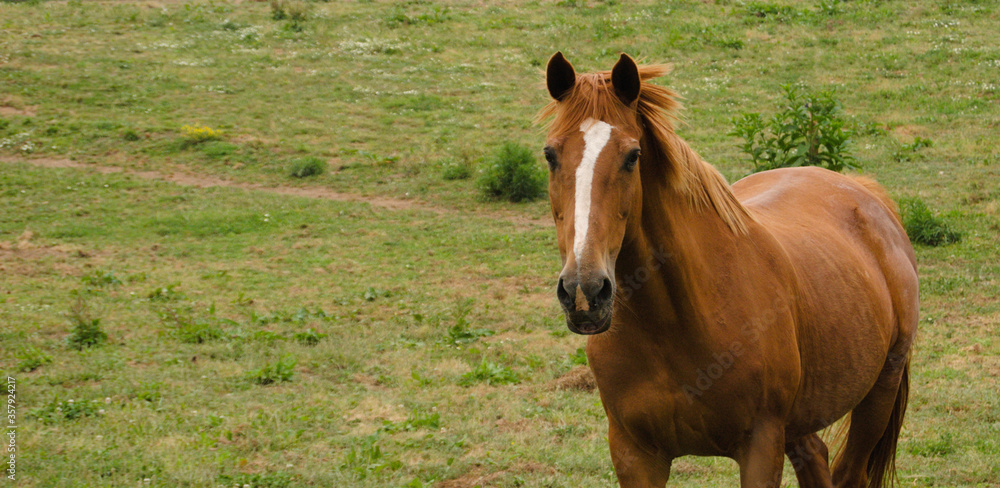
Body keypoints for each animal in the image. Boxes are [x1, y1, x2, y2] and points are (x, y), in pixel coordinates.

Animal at [539, 52, 918, 488]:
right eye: (550, 154)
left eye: (632, 156)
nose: (584, 291)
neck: (676, 322)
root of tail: (865, 193)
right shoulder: (634, 453)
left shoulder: (761, 446)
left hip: (879, 391)